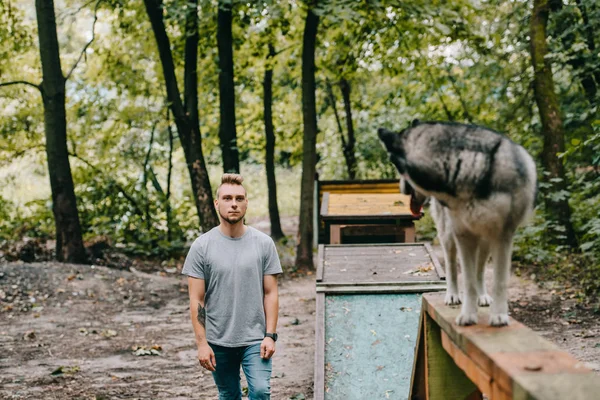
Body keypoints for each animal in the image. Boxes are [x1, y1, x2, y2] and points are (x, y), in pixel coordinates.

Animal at [378, 121, 536, 324]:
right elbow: (467, 280)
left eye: (401, 172)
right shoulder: (462, 234)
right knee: (453, 267)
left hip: (485, 241)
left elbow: (498, 280)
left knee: (480, 270)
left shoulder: (503, 235)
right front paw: (468, 315)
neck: (470, 170)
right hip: (448, 237)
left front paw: (499, 315)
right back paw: (453, 295)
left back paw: (482, 296)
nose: (401, 188)